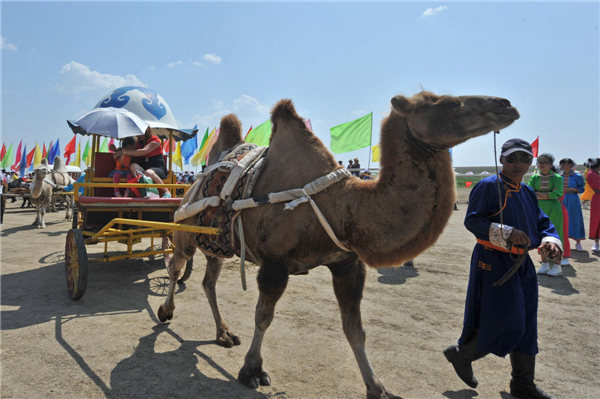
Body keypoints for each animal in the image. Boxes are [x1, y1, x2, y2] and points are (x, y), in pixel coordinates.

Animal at [157, 92, 516, 398]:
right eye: (451, 103)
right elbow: (263, 317)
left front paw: (377, 387)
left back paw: (224, 333)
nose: (506, 105)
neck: (341, 206)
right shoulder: (275, 264)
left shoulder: (347, 264)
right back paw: (165, 311)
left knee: (209, 280)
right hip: (183, 227)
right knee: (175, 266)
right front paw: (252, 371)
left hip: (217, 242)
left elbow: (355, 329)